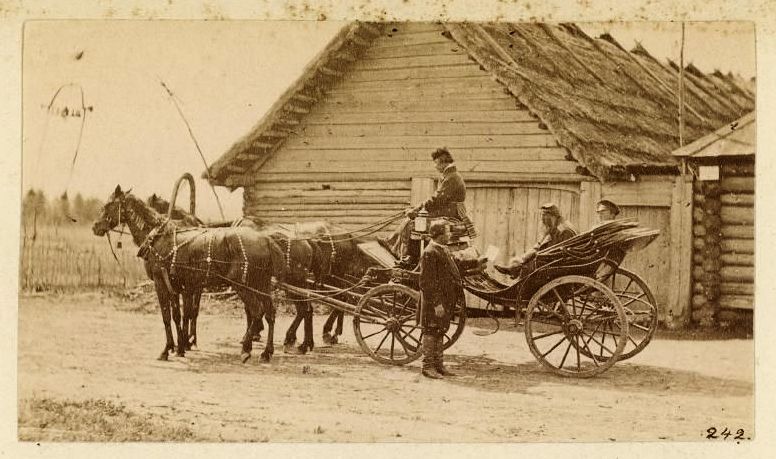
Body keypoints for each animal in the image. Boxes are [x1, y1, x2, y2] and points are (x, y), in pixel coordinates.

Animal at [91, 186, 284, 362]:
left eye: (108, 204)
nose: (95, 227)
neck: (158, 237)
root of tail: (266, 239)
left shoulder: (161, 283)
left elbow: (167, 317)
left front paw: (168, 349)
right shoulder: (177, 286)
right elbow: (178, 315)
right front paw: (180, 346)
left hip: (243, 285)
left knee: (257, 312)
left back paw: (246, 348)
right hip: (262, 284)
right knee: (270, 312)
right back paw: (266, 352)